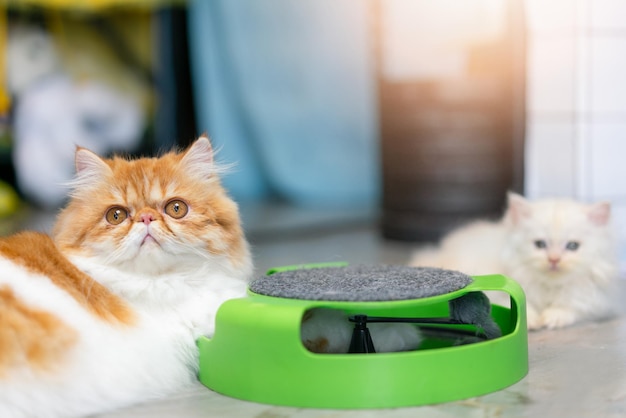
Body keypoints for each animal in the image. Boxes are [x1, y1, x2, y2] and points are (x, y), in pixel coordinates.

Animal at [408, 192, 616, 330]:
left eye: (572, 246)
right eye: (540, 244)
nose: (554, 260)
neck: (548, 285)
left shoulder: (597, 301)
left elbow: (571, 306)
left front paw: (552, 318)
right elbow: (523, 305)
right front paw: (531, 320)